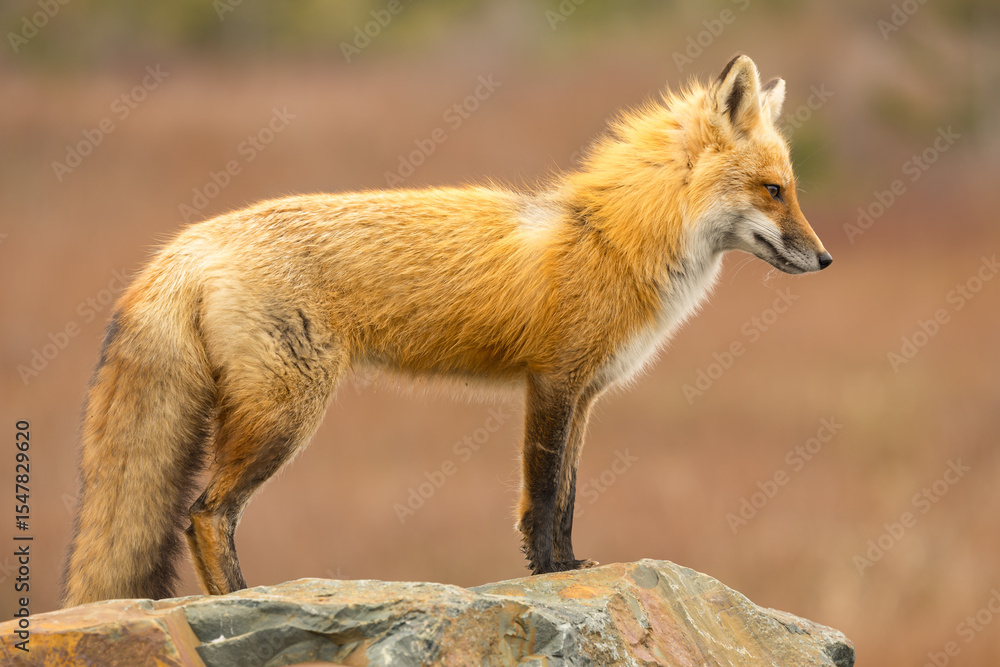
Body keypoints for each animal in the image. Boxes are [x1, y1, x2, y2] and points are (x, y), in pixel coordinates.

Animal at [62, 55, 831, 607]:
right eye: (774, 191)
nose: (825, 259)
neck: (613, 239)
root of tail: (187, 243)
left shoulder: (584, 394)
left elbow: (567, 496)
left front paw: (571, 566)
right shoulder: (552, 383)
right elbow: (542, 496)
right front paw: (549, 573)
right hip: (284, 414)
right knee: (205, 512)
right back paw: (242, 601)